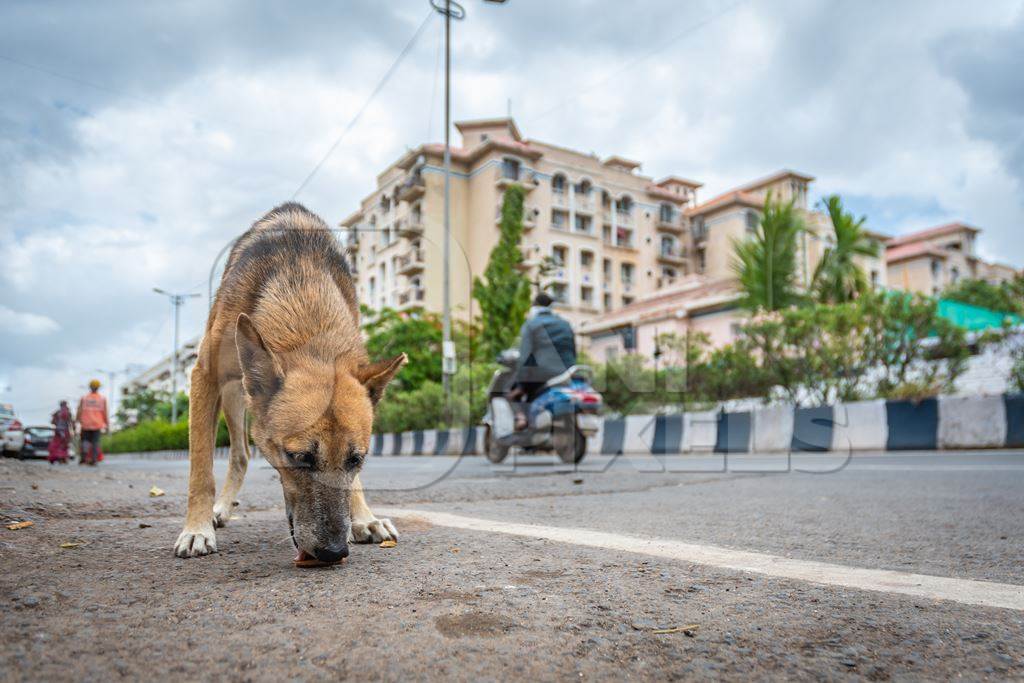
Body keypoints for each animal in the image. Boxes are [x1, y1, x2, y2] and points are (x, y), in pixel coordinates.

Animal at [174, 201, 405, 561]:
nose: (334, 552)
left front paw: (363, 517)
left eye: (357, 459)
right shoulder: (203, 376)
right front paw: (197, 528)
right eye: (299, 457)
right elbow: (200, 468)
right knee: (239, 454)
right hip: (232, 396)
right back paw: (218, 510)